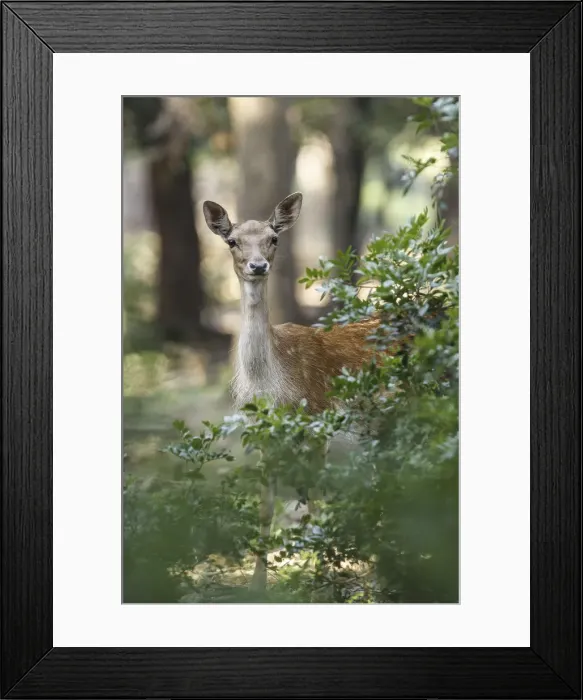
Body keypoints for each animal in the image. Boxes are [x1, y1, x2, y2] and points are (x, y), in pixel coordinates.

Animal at [203, 192, 382, 591]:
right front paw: (257, 586)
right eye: (232, 241)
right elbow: (266, 507)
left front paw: (323, 578)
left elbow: (315, 500)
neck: (274, 386)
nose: (257, 266)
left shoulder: (318, 417)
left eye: (274, 237)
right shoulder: (262, 432)